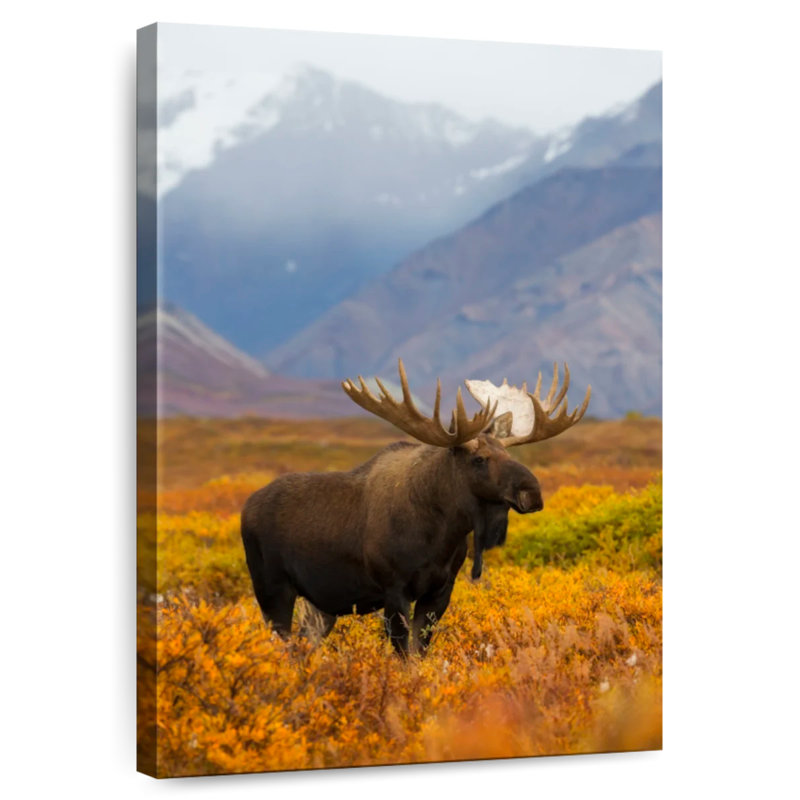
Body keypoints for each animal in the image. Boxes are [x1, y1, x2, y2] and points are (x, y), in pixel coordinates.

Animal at [241, 360, 590, 656]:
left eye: (508, 453)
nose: (532, 493)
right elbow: (404, 654)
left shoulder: (440, 590)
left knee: (302, 647)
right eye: (479, 459)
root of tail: (245, 508)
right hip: (272, 589)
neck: (442, 533)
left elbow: (420, 651)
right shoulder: (393, 590)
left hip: (320, 604)